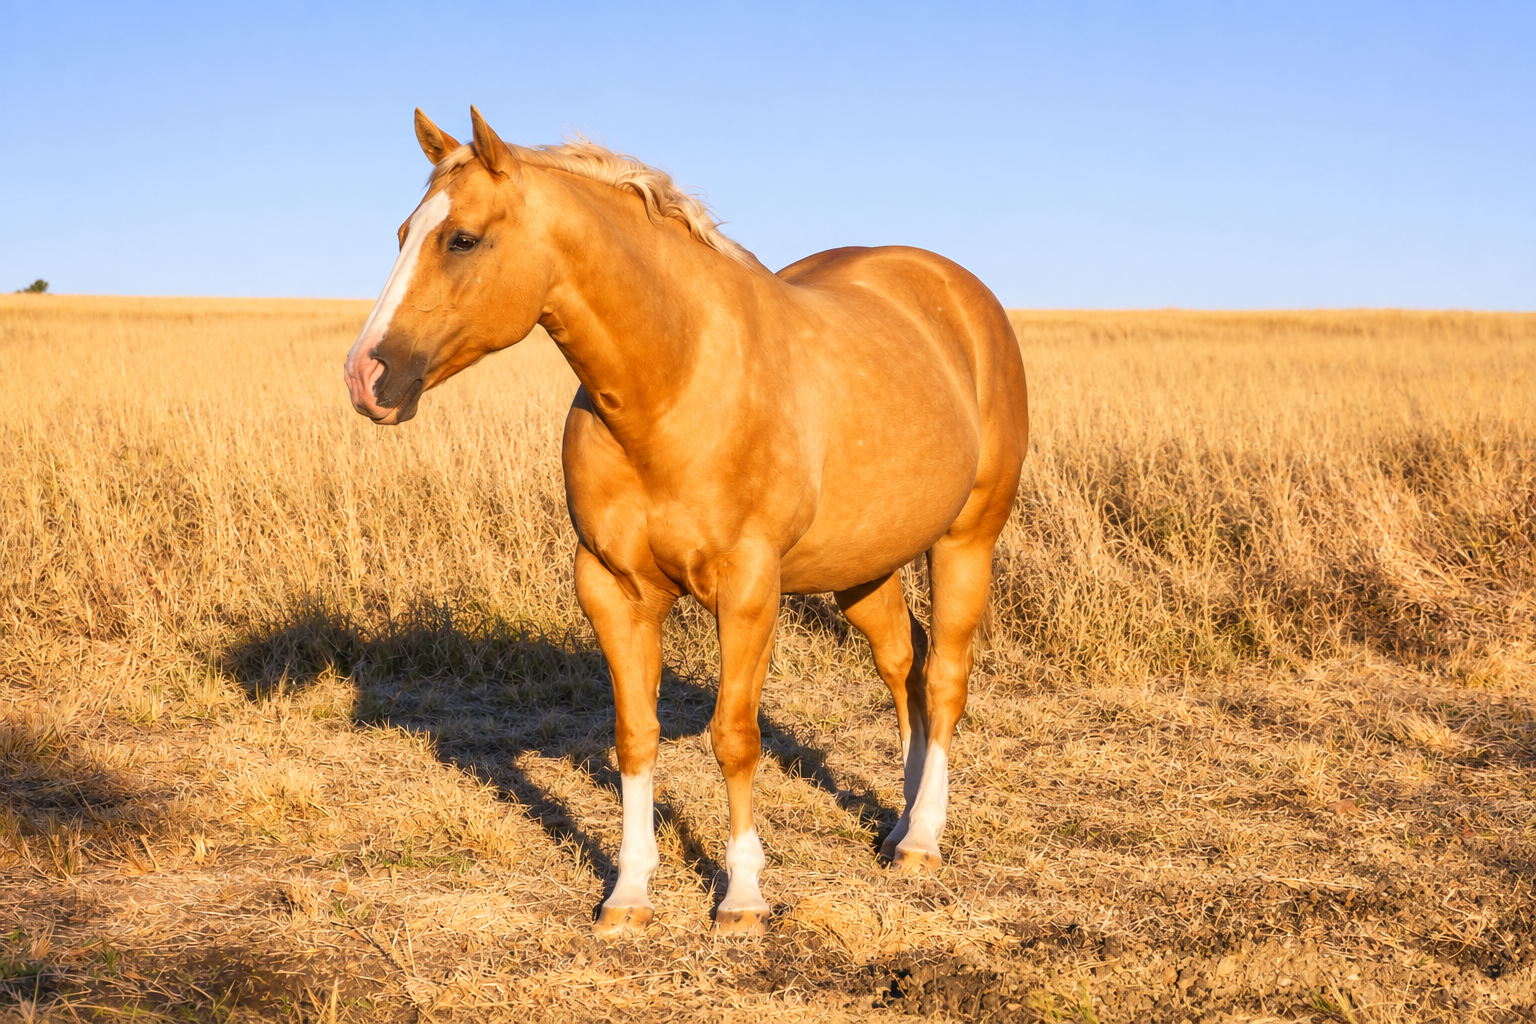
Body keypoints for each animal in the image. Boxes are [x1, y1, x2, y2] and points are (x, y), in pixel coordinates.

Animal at [343, 107, 1028, 936]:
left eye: (463, 239)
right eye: (404, 231)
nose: (366, 375)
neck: (674, 383)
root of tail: (959, 294)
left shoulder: (749, 588)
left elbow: (734, 738)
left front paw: (742, 897)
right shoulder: (612, 589)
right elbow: (635, 738)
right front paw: (629, 893)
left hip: (967, 542)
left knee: (947, 675)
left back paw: (922, 839)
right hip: (864, 568)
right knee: (906, 664)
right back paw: (898, 823)